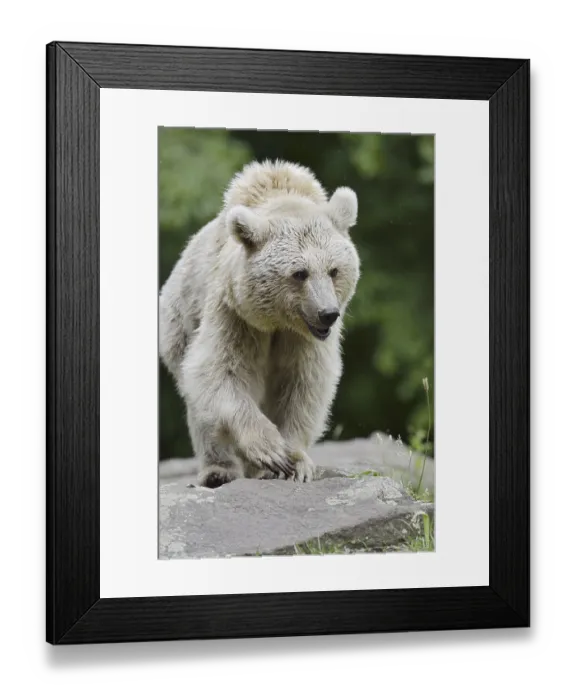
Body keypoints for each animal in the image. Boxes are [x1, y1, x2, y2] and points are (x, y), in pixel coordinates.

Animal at [159, 159, 360, 487]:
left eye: (334, 270)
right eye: (300, 273)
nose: (328, 313)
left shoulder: (303, 339)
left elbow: (304, 382)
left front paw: (295, 462)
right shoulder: (234, 313)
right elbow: (218, 369)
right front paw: (271, 452)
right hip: (178, 326)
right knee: (202, 409)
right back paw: (219, 471)